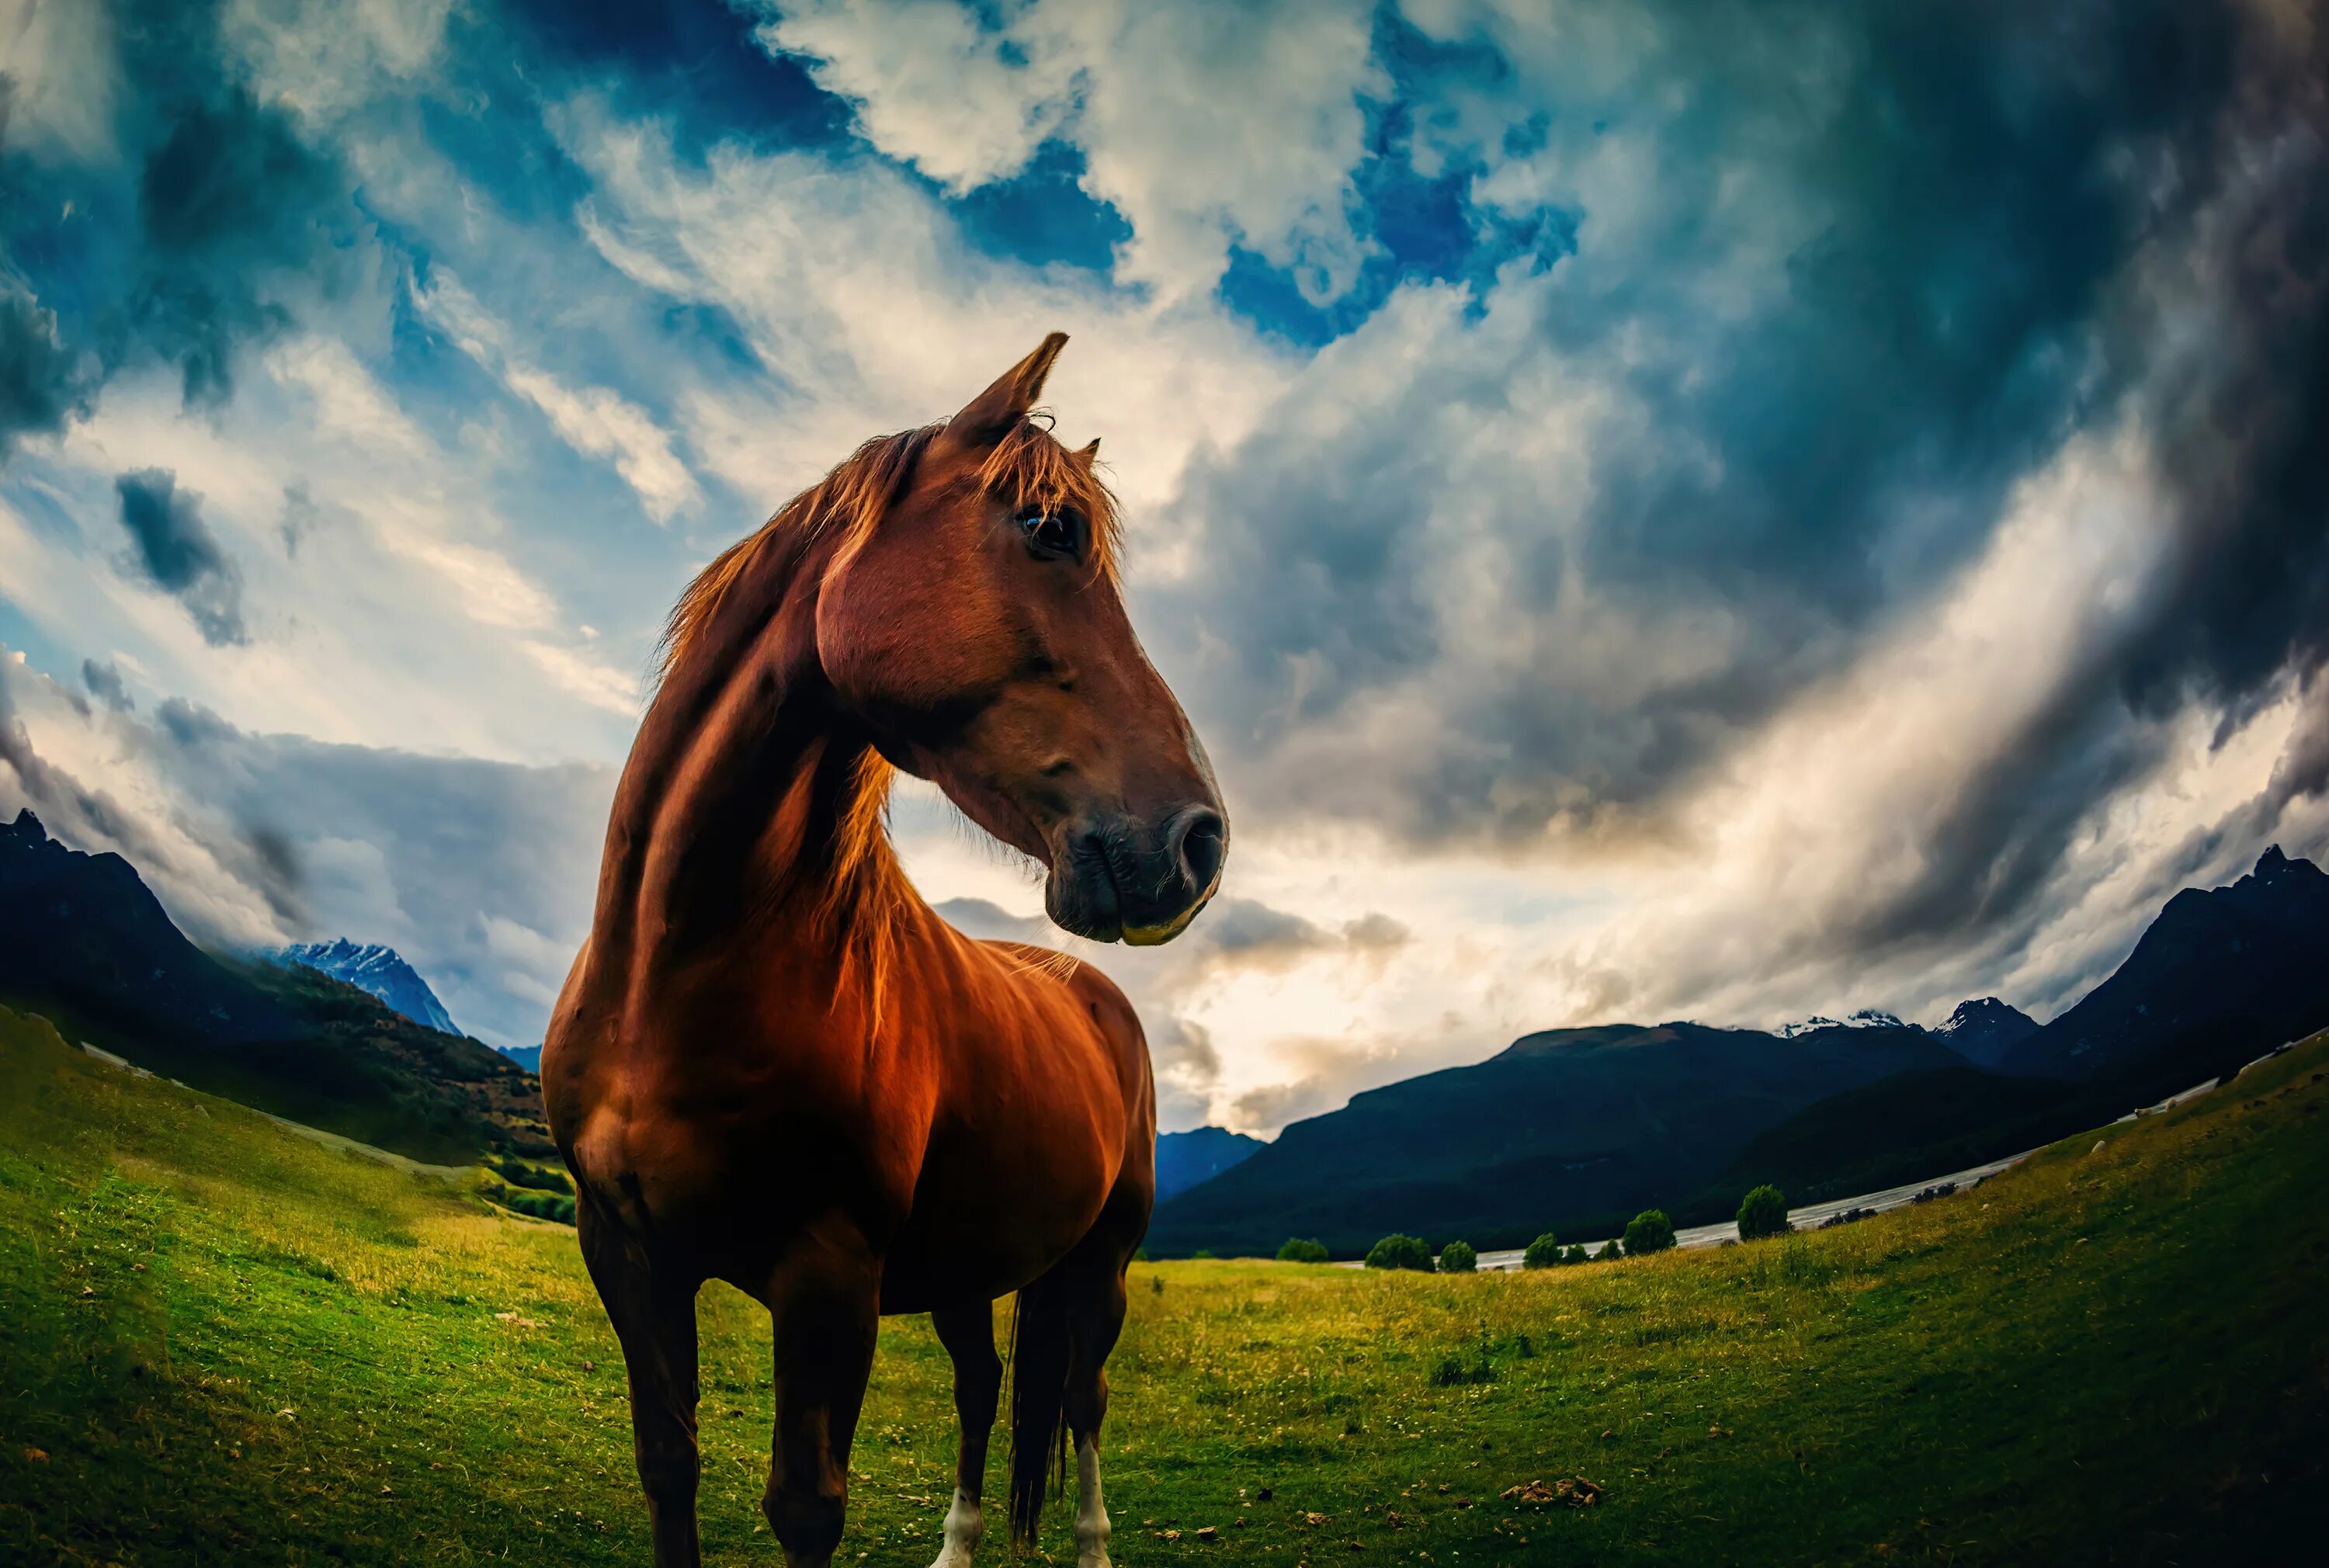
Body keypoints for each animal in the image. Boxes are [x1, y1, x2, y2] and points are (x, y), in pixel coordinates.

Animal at [533, 333, 1211, 1565]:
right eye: (1046, 530)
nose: (1200, 838)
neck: (676, 972)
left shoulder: (829, 1275)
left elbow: (806, 1507)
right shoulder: (624, 1250)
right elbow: (668, 1466)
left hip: (1102, 1262)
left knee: (1081, 1399)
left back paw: (1089, 1542)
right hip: (971, 1266)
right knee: (986, 1387)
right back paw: (959, 1543)